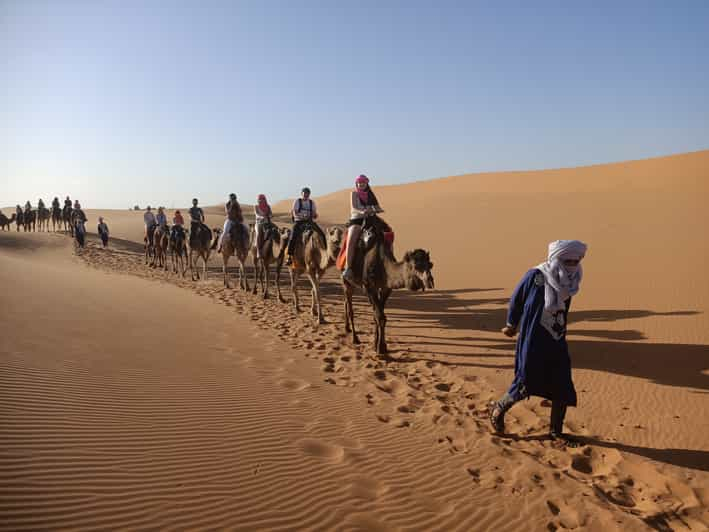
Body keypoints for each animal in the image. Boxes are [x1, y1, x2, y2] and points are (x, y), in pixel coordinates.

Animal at [342, 214, 434, 356]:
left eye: (430, 264)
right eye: (415, 266)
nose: (429, 280)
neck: (381, 262)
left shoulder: (385, 288)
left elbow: (379, 315)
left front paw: (378, 345)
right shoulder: (369, 287)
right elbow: (379, 316)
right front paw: (380, 349)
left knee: (347, 302)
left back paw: (347, 328)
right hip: (347, 280)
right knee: (350, 306)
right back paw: (355, 338)